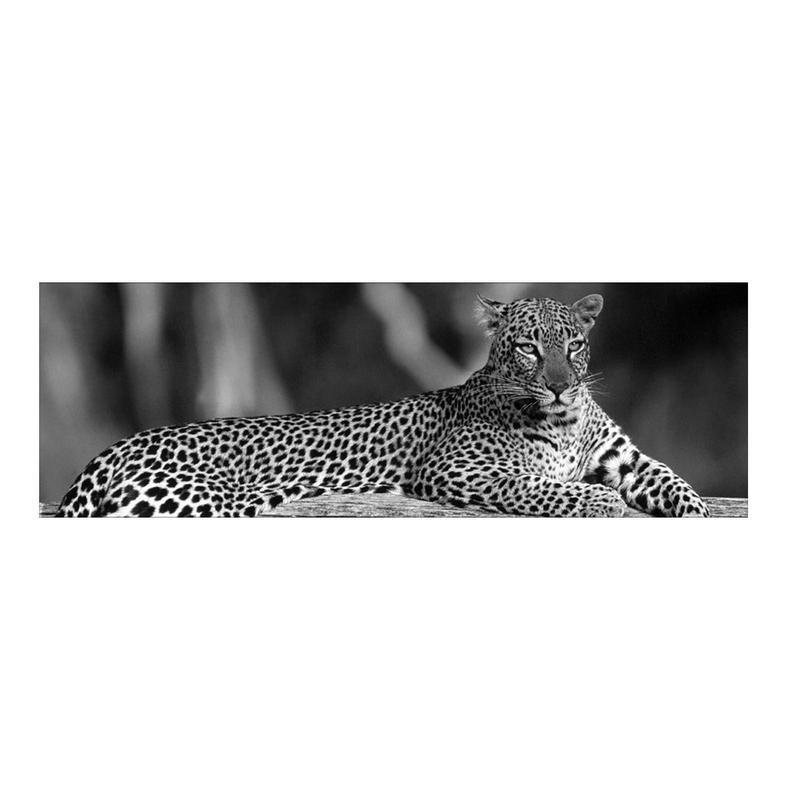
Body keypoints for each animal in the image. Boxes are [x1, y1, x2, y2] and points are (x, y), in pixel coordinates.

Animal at [55, 293, 710, 518]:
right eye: (528, 347)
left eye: (573, 345)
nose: (559, 385)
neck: (566, 421)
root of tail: (107, 452)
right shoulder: (459, 469)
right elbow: (543, 489)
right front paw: (598, 501)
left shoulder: (625, 457)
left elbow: (672, 479)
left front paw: (697, 510)